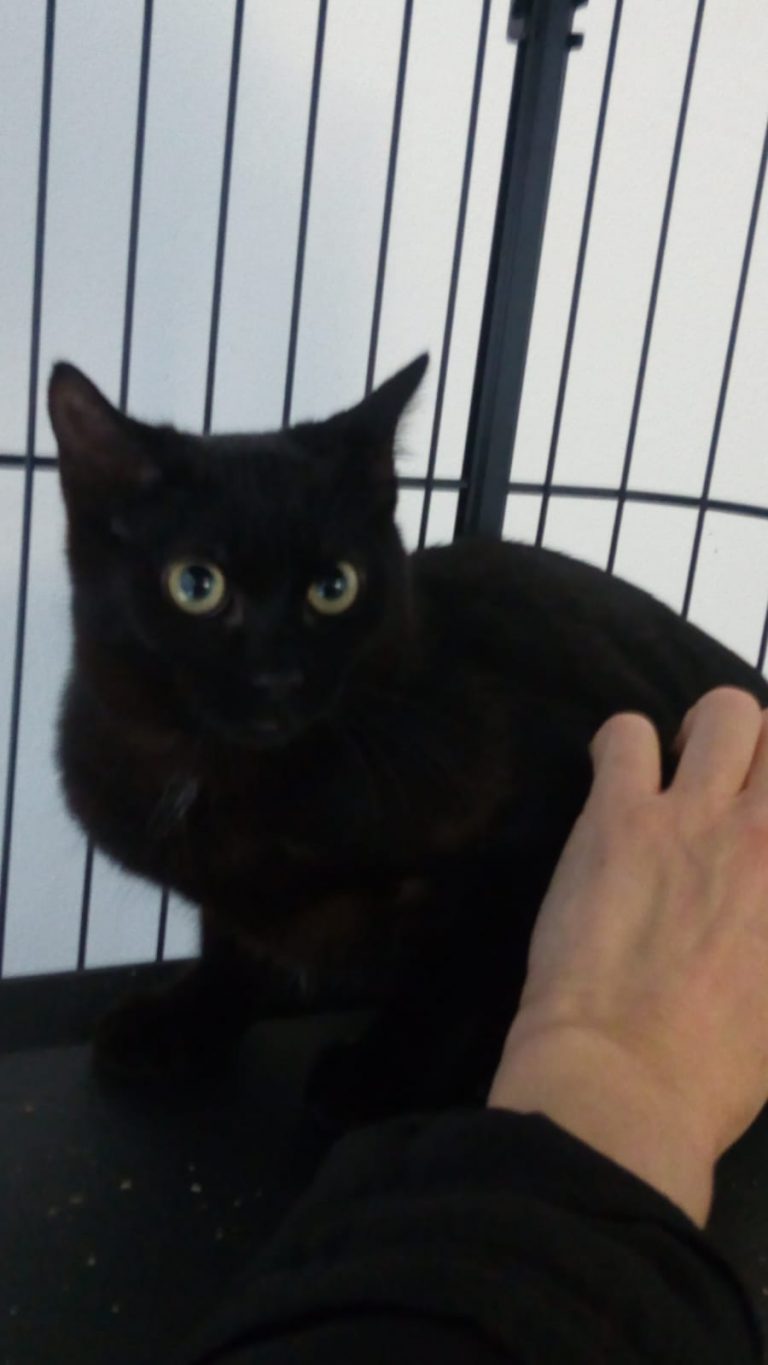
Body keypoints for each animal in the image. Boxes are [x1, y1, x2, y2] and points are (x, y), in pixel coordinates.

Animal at [48, 355, 768, 1120]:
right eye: (195, 584)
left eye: (335, 586)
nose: (277, 675)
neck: (234, 781)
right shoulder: (233, 890)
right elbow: (234, 943)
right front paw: (185, 1020)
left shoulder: (538, 832)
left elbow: (447, 987)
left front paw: (378, 1078)